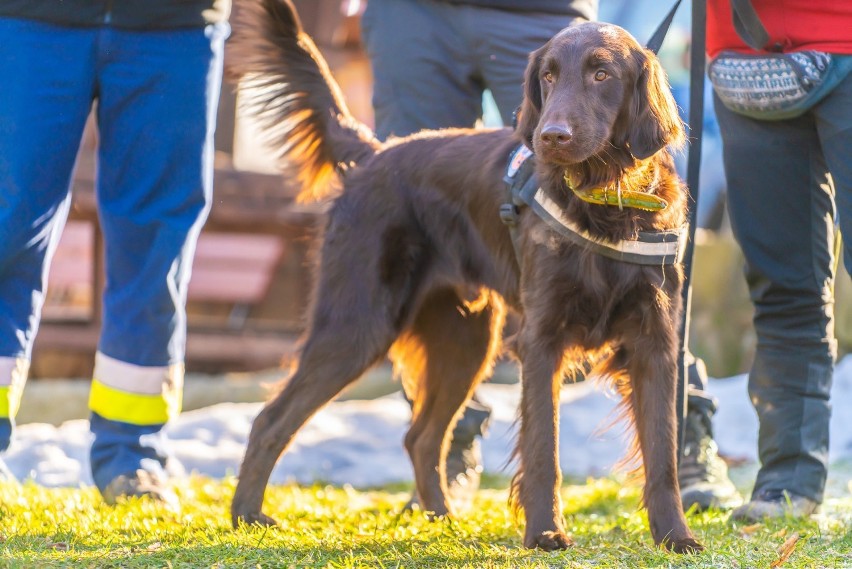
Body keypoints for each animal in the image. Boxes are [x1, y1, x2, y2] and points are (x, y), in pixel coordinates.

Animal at [225, 0, 700, 552]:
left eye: (602, 74)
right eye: (548, 76)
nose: (550, 137)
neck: (605, 200)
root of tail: (372, 155)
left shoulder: (655, 342)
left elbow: (663, 454)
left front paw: (675, 536)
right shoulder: (541, 341)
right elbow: (543, 448)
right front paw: (544, 531)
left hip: (465, 339)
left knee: (421, 436)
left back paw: (441, 517)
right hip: (358, 327)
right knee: (270, 420)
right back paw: (246, 515)